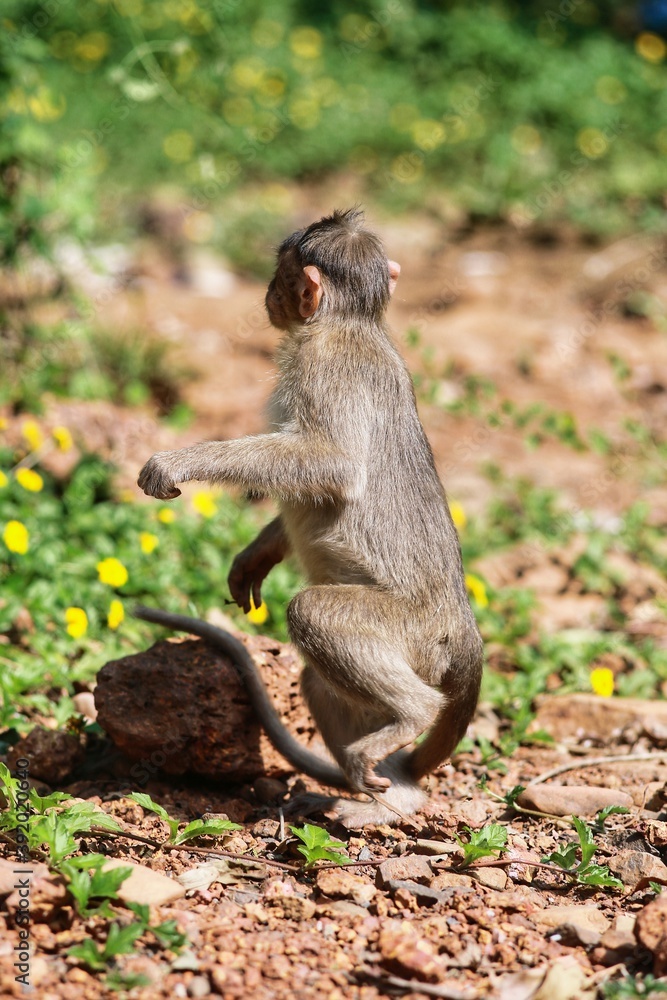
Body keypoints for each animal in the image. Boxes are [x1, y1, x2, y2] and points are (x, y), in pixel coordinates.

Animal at [136, 208, 483, 828]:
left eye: (282, 275)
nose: (268, 296)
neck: (352, 322)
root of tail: (463, 626)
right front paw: (256, 556)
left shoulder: (321, 362)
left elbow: (334, 465)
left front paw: (178, 461)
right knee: (316, 683)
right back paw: (393, 800)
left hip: (417, 635)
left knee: (313, 615)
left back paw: (412, 718)